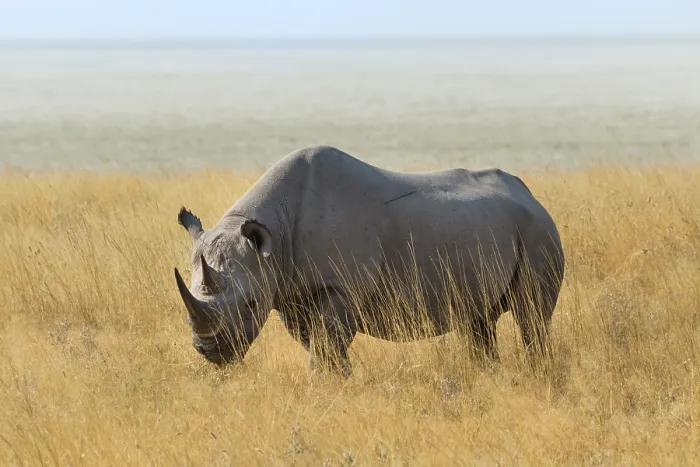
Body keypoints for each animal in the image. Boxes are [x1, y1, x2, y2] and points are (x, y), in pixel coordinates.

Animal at [174, 145, 565, 375]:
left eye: (251, 304)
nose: (210, 352)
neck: (273, 235)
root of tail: (530, 194)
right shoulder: (289, 290)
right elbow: (317, 343)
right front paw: (339, 380)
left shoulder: (341, 287)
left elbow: (328, 342)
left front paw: (329, 382)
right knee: (478, 321)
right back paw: (486, 374)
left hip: (538, 230)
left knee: (531, 316)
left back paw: (538, 373)